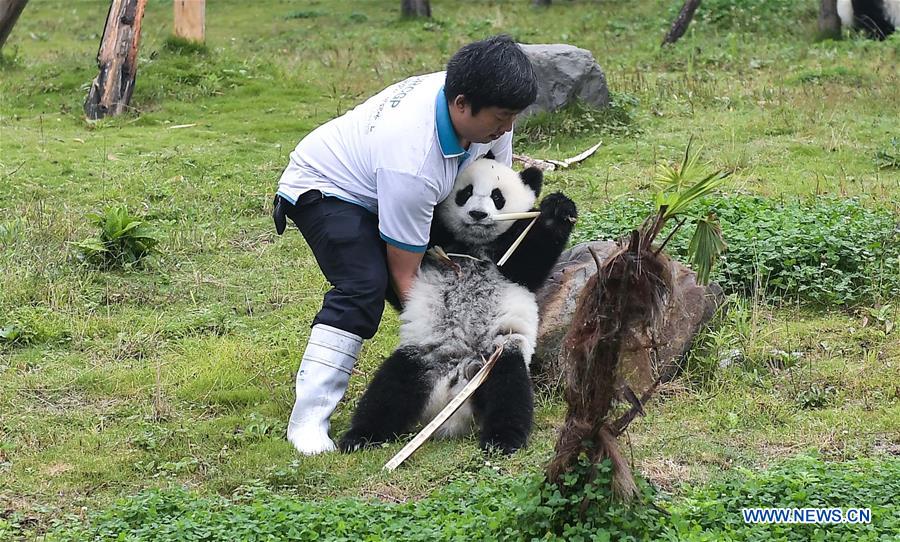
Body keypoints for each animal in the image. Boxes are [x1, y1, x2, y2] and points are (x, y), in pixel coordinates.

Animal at [339, 156, 577, 454]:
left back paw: (502, 439)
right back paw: (360, 437)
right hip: (422, 357)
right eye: (465, 193)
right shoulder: (435, 246)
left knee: (509, 390)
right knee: (390, 389)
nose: (477, 214)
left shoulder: (508, 260)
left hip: (496, 355)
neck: (470, 246)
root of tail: (453, 388)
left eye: (497, 197)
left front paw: (557, 209)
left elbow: (530, 259)